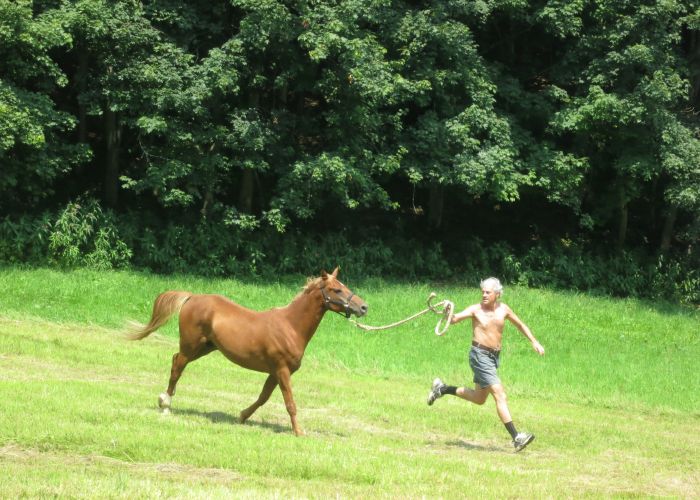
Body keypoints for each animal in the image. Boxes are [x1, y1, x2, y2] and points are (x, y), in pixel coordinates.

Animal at [129, 268, 366, 436]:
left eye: (344, 286)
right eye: (337, 290)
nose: (363, 307)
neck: (290, 326)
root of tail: (192, 297)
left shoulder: (275, 372)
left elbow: (263, 397)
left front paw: (242, 416)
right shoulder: (282, 370)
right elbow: (290, 403)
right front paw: (299, 432)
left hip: (204, 348)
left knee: (175, 360)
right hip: (191, 346)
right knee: (178, 367)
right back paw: (165, 404)